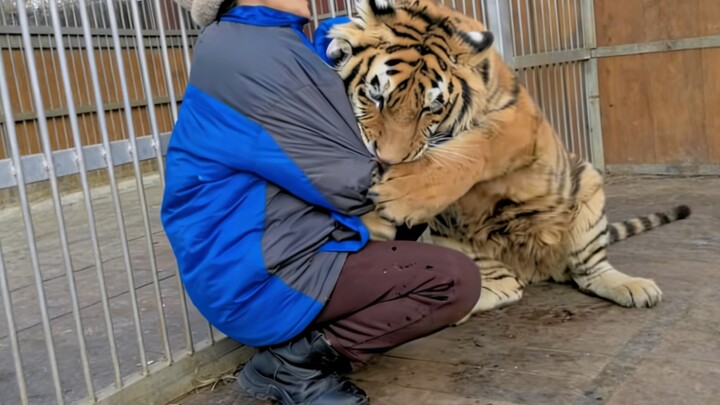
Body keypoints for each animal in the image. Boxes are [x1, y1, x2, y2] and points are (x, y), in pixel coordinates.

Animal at [324, 0, 691, 324]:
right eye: (375, 95)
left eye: (431, 108)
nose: (387, 159)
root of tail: (535, 268)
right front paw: (371, 219)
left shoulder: (518, 120)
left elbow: (472, 150)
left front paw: (401, 193)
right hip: (458, 239)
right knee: (504, 286)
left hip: (587, 188)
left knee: (587, 272)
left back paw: (634, 287)